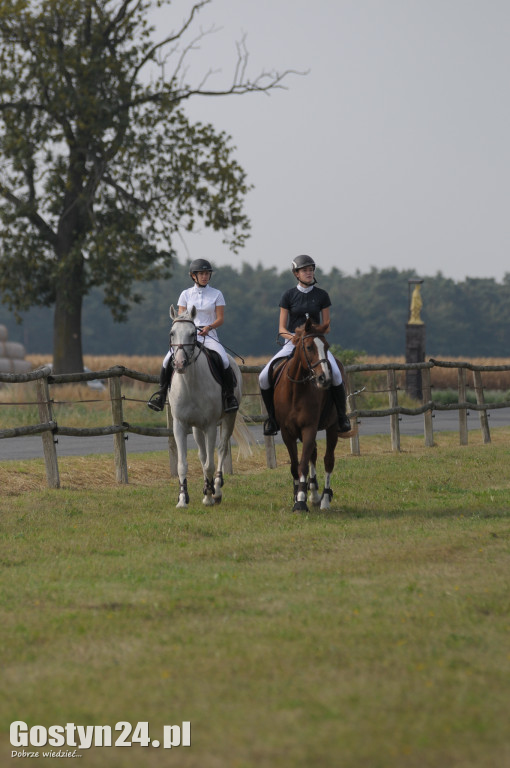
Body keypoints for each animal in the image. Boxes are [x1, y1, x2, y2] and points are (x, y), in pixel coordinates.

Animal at [270, 316, 342, 510]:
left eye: (327, 346)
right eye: (309, 347)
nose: (324, 378)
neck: (296, 390)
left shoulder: (309, 427)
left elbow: (302, 464)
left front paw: (301, 501)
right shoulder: (287, 432)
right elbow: (295, 465)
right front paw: (297, 495)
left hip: (333, 427)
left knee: (328, 459)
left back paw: (325, 499)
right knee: (314, 455)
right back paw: (315, 494)